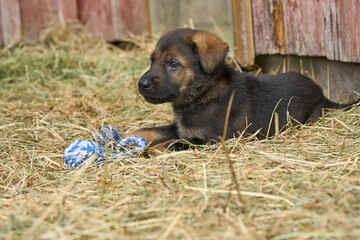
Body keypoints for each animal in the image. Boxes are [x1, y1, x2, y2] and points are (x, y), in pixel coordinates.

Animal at [123, 28, 358, 152]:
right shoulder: (183, 128)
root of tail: (323, 95)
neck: (202, 94)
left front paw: (150, 149)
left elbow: (175, 142)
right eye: (152, 61)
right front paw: (129, 136)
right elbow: (155, 130)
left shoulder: (212, 140)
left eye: (173, 64)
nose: (141, 84)